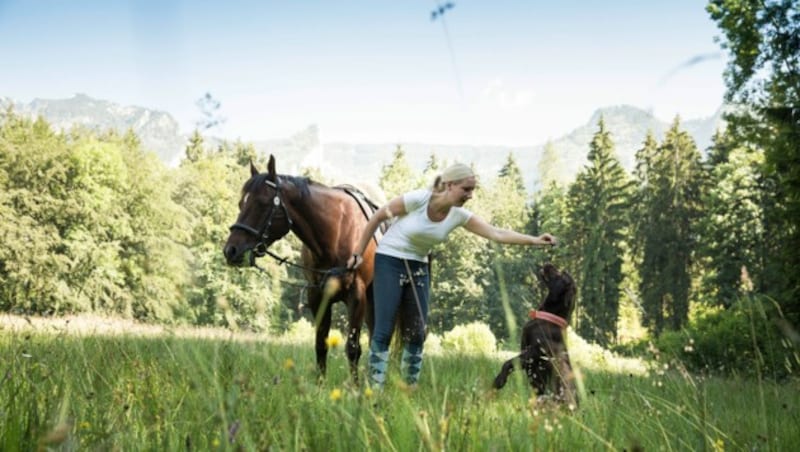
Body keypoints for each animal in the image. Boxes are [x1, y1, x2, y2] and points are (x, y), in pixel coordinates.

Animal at [220, 155, 380, 378]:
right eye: (240, 203)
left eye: (262, 203)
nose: (231, 250)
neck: (338, 232)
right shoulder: (318, 296)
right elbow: (321, 346)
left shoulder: (356, 295)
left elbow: (353, 349)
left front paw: (355, 387)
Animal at [490, 262, 580, 406]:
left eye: (561, 274)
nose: (548, 263)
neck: (548, 318)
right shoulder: (526, 356)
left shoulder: (534, 352)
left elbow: (508, 362)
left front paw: (499, 380)